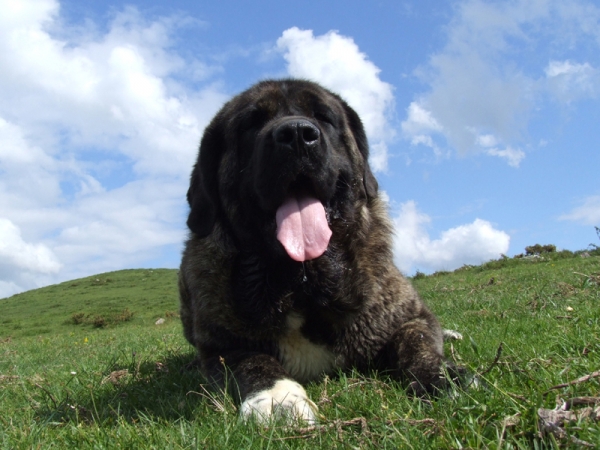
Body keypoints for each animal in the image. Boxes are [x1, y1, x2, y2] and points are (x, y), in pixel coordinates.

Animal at [178, 79, 460, 424]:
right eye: (252, 122)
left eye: (323, 117)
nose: (297, 133)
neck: (301, 284)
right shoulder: (221, 348)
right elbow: (253, 361)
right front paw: (278, 397)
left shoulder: (407, 316)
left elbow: (416, 341)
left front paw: (441, 376)